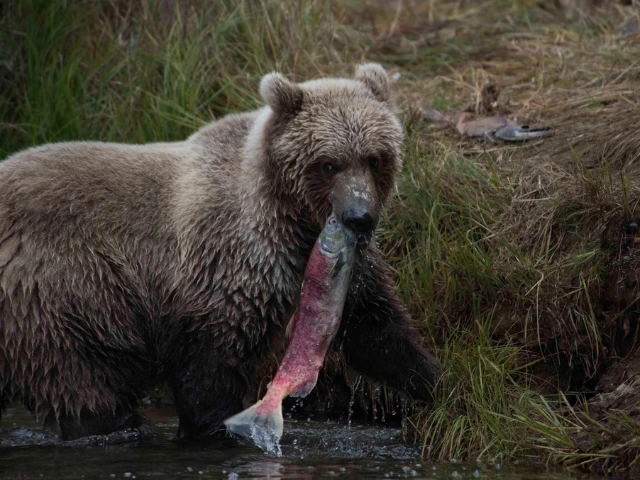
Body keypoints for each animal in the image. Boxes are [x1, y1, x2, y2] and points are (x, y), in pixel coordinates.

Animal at [0, 63, 440, 440]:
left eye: (374, 158)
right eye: (329, 163)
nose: (359, 217)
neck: (291, 218)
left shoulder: (337, 266)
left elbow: (376, 328)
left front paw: (434, 382)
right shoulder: (227, 260)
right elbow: (212, 364)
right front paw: (215, 427)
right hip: (61, 293)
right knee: (84, 388)